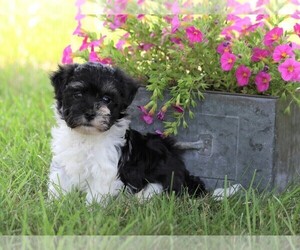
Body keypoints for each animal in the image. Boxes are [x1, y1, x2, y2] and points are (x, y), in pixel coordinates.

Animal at [48, 62, 238, 203]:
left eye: (106, 99)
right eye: (77, 94)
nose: (89, 114)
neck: (87, 137)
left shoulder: (105, 170)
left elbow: (96, 194)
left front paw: (91, 212)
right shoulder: (63, 163)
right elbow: (59, 184)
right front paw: (55, 206)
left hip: (160, 181)